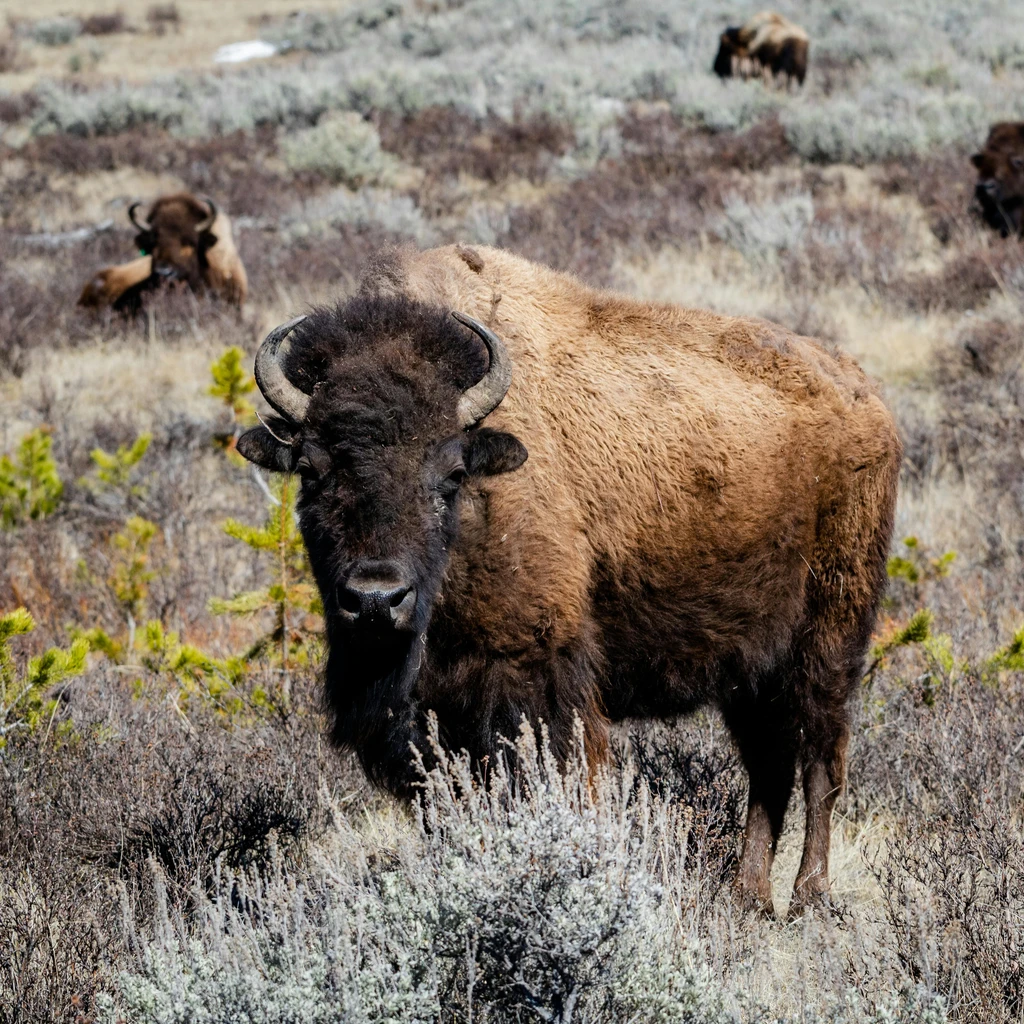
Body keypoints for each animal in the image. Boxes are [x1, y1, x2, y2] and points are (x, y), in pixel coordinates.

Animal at [237, 244, 901, 917]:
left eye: (451, 473)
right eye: (311, 471)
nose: (376, 599)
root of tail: (865, 397)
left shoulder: (535, 681)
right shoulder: (430, 718)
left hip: (829, 640)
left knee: (820, 761)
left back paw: (809, 896)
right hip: (750, 670)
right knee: (769, 767)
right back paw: (748, 897)